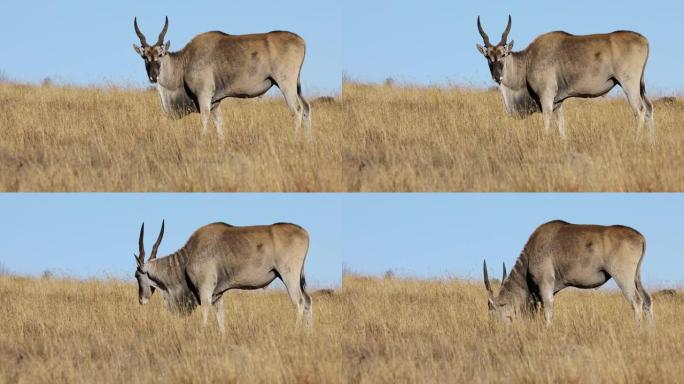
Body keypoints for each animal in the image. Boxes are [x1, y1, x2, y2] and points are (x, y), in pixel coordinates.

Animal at [132, 16, 312, 141]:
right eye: (145, 57)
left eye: (160, 54)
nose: (153, 76)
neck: (185, 61)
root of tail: (300, 40)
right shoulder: (216, 101)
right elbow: (219, 124)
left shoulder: (204, 96)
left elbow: (205, 119)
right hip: (296, 86)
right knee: (306, 108)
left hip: (286, 84)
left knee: (296, 110)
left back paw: (296, 142)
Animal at [133, 220, 312, 332]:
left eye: (137, 275)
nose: (141, 299)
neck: (187, 257)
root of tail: (304, 232)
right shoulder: (218, 295)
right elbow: (221, 320)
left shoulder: (205, 292)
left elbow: (205, 314)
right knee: (308, 301)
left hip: (289, 276)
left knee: (299, 302)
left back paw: (296, 333)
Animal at [476, 15, 652, 142]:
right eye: (488, 57)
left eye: (503, 55)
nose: (497, 76)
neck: (528, 60)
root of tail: (643, 39)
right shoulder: (558, 102)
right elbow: (561, 126)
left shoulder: (546, 97)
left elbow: (547, 122)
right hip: (640, 86)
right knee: (649, 108)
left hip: (629, 84)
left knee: (640, 110)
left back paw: (636, 142)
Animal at [484, 220, 656, 326]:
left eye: (492, 311)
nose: (495, 328)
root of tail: (640, 236)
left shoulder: (545, 285)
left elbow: (548, 310)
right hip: (636, 277)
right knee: (647, 300)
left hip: (623, 277)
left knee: (637, 301)